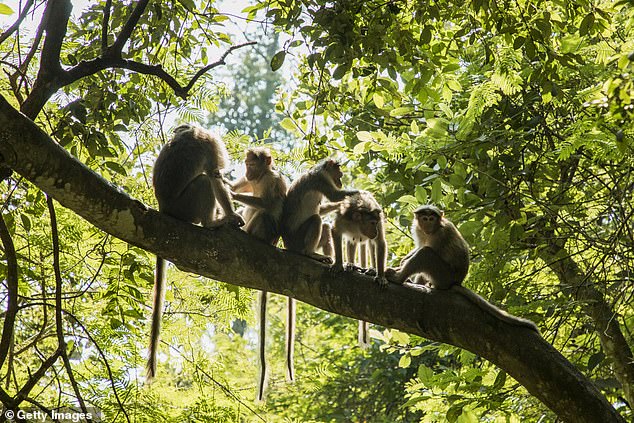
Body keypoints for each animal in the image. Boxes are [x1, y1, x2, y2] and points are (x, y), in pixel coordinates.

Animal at [148, 123, 244, 380]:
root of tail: (164, 208)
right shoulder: (211, 144)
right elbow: (214, 175)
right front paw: (231, 215)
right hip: (186, 207)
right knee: (203, 182)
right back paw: (212, 223)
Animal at [278, 160, 358, 384]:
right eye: (338, 171)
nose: (341, 178)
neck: (319, 169)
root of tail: (288, 246)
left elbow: (325, 207)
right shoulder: (319, 180)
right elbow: (335, 197)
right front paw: (358, 193)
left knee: (325, 226)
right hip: (298, 239)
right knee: (315, 220)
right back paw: (311, 254)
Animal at [382, 205, 536, 332]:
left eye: (431, 218)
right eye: (424, 218)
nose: (428, 224)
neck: (432, 230)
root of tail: (457, 282)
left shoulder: (441, 234)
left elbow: (428, 249)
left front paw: (399, 268)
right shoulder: (419, 230)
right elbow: (419, 246)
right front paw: (402, 262)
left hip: (443, 275)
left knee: (426, 254)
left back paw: (399, 278)